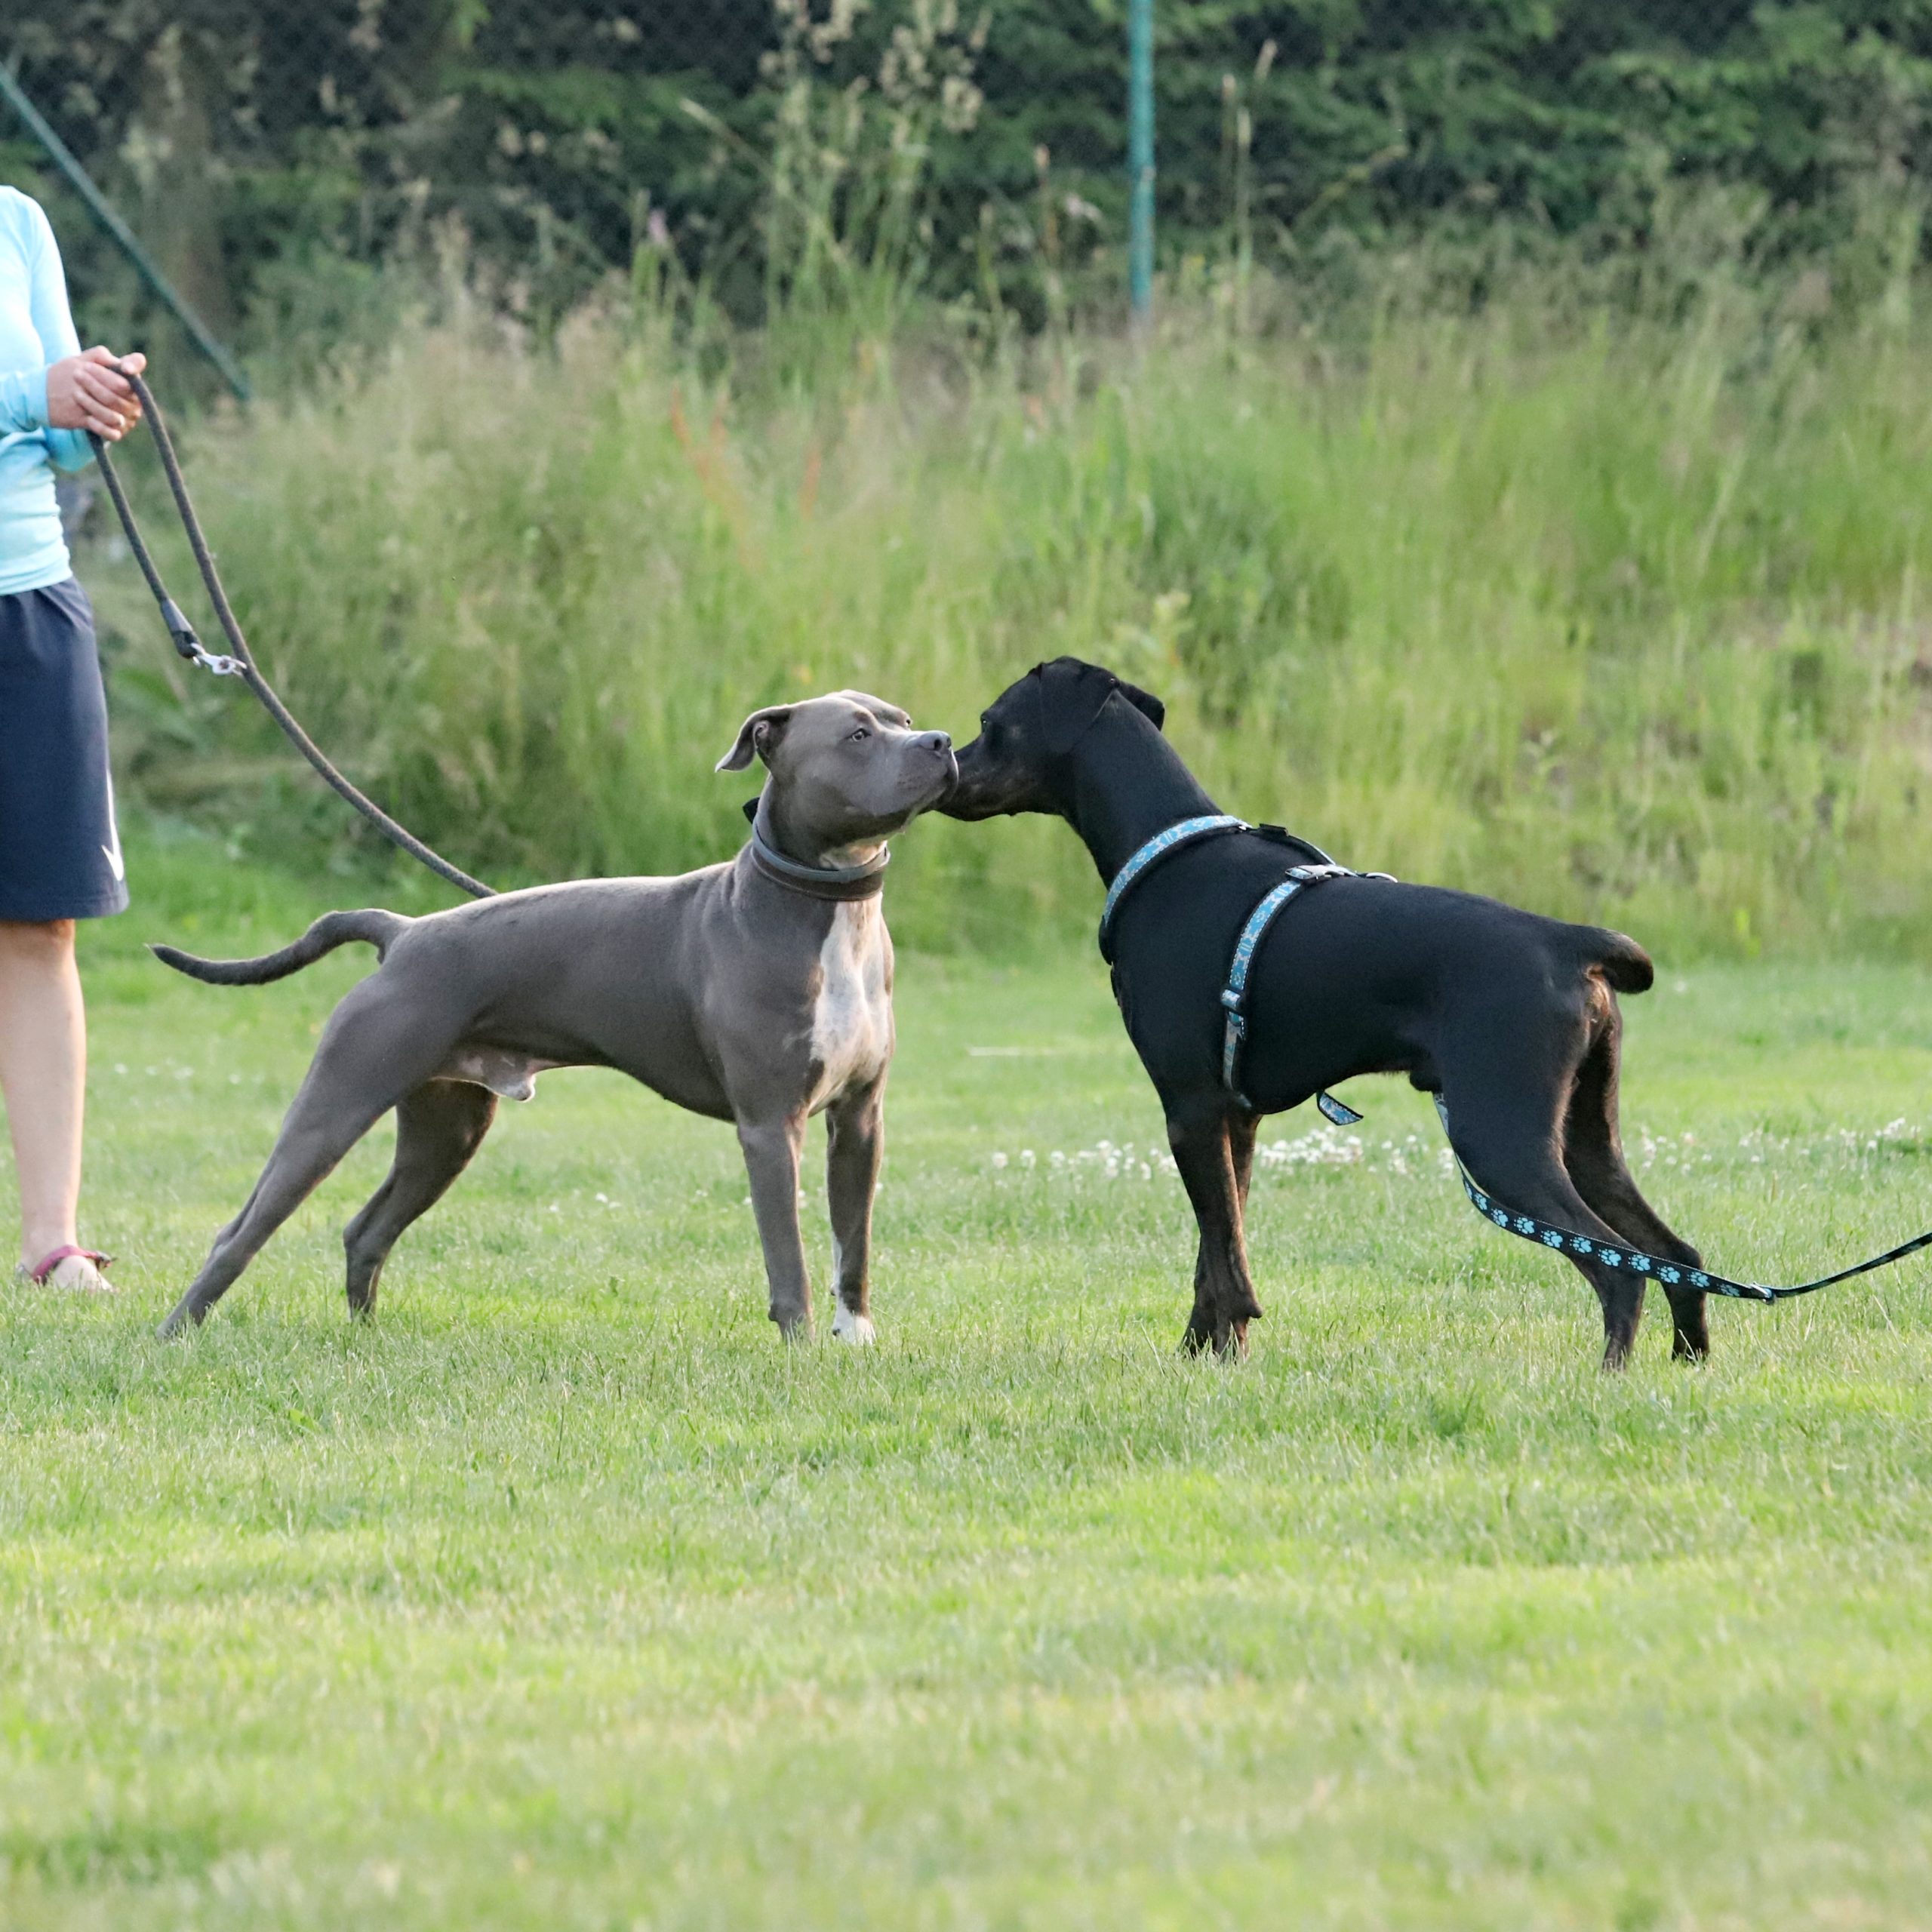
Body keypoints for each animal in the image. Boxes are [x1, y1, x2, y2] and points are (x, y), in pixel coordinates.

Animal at [152, 695, 958, 1344]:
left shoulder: (859, 1121)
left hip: (446, 1130)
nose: (942, 740)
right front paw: (800, 1353)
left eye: (902, 719)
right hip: (335, 1106)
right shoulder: (770, 1125)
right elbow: (788, 1258)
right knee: (239, 1232)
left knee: (367, 1228)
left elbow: (852, 1246)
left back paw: (364, 1338)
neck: (829, 910)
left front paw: (855, 1340)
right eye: (858, 734)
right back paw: (174, 1337)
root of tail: (402, 932)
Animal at [950, 657, 1708, 1367]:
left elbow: (1225, 1266)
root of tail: (1570, 941)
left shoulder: (1189, 1108)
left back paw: (1609, 1379)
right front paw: (1202, 1357)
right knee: (1677, 1256)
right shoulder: (1234, 1118)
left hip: (1502, 1138)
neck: (1166, 848)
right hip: (1586, 1138)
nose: (946, 762)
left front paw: (1222, 1359)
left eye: (990, 723)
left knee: (1622, 1272)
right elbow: (1215, 1255)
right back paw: (1688, 1364)